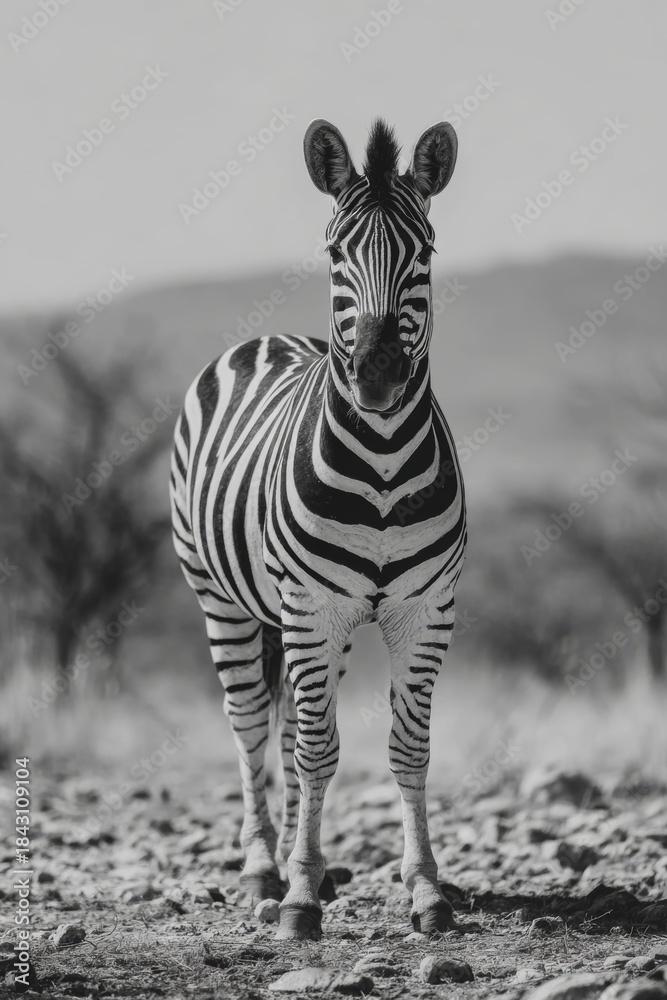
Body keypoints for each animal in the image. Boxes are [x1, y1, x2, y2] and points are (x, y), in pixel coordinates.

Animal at [170, 118, 466, 940]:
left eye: (425, 252)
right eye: (336, 253)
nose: (377, 373)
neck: (385, 462)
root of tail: (268, 338)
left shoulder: (425, 611)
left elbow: (406, 749)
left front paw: (424, 889)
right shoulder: (310, 605)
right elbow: (317, 750)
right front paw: (298, 898)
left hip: (303, 623)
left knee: (293, 729)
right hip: (226, 600)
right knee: (252, 726)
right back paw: (264, 868)